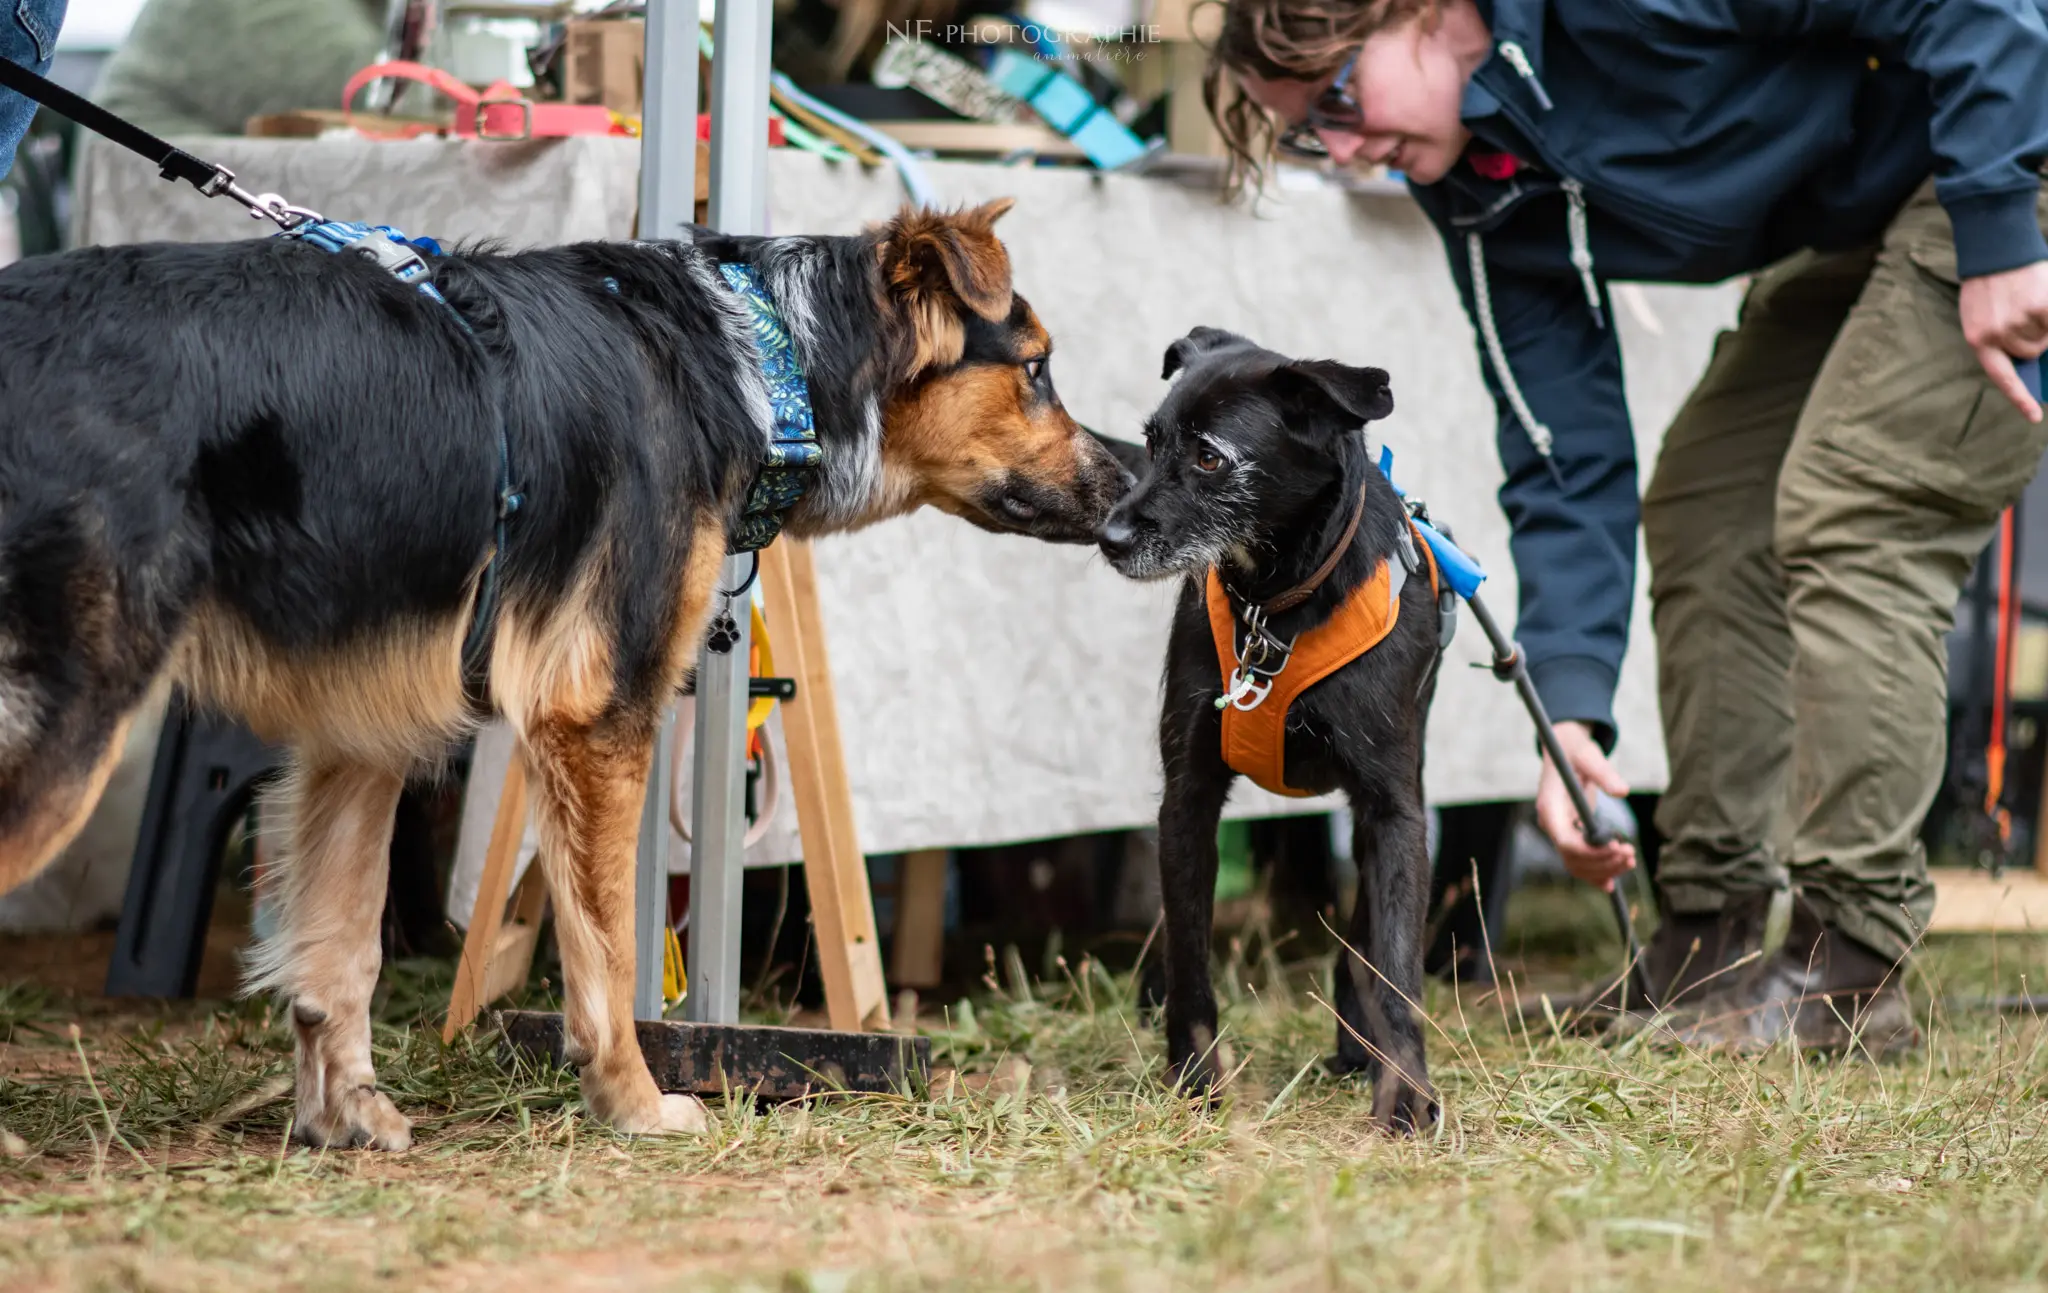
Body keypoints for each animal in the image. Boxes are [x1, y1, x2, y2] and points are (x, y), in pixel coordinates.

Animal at [0, 197, 1122, 1147]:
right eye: (1035, 371)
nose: (1129, 480)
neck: (762, 355)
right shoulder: (599, 713)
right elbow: (609, 946)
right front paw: (633, 1102)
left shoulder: (358, 731)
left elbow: (341, 942)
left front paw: (344, 1115)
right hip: (68, 725)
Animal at [1097, 325, 1449, 1131]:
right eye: (1152, 441)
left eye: (1209, 457)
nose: (1109, 534)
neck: (1280, 598)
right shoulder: (1187, 798)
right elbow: (1190, 961)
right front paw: (1195, 1080)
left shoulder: (1393, 808)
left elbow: (1397, 965)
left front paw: (1404, 1093)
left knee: (1363, 937)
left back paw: (1359, 1045)